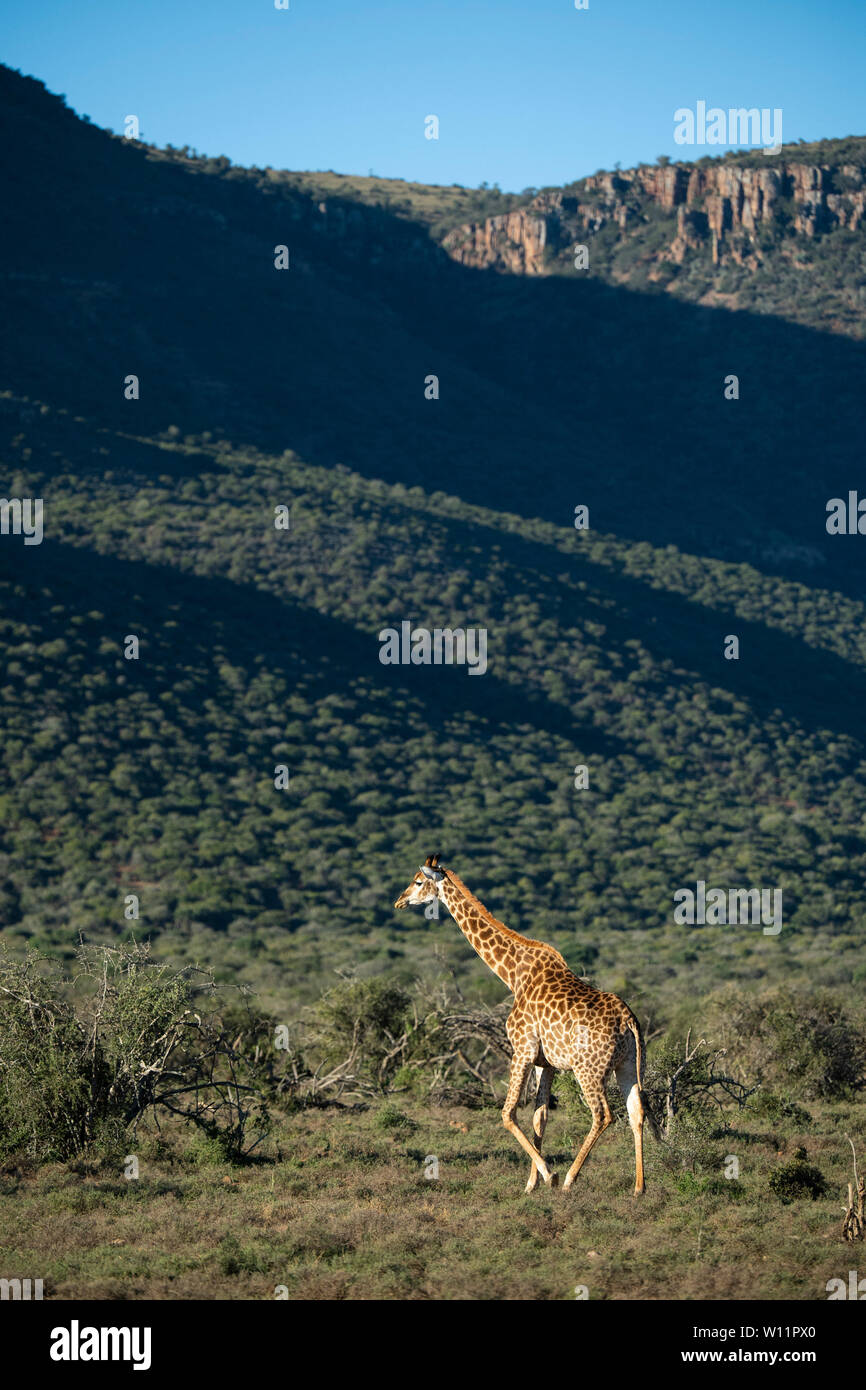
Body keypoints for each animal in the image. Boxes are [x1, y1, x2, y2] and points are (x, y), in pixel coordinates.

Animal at [393, 855, 658, 1194]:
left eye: (417, 881)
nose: (399, 901)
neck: (513, 974)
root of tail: (629, 1020)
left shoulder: (522, 1050)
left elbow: (507, 1113)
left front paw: (549, 1175)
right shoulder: (546, 1062)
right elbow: (539, 1117)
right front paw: (532, 1183)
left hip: (589, 1068)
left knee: (603, 1114)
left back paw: (571, 1178)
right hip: (628, 1064)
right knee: (636, 1111)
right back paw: (639, 1187)